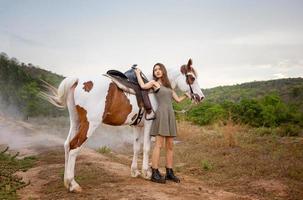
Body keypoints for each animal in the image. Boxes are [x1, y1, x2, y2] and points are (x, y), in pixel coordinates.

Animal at [41, 58, 204, 193]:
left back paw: (66, 182)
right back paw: (73, 184)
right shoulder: (149, 124)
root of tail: (78, 80)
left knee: (67, 145)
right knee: (75, 147)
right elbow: (146, 148)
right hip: (89, 124)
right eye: (192, 78)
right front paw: (147, 173)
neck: (153, 90)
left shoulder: (137, 126)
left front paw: (135, 172)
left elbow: (136, 148)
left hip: (75, 122)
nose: (200, 97)